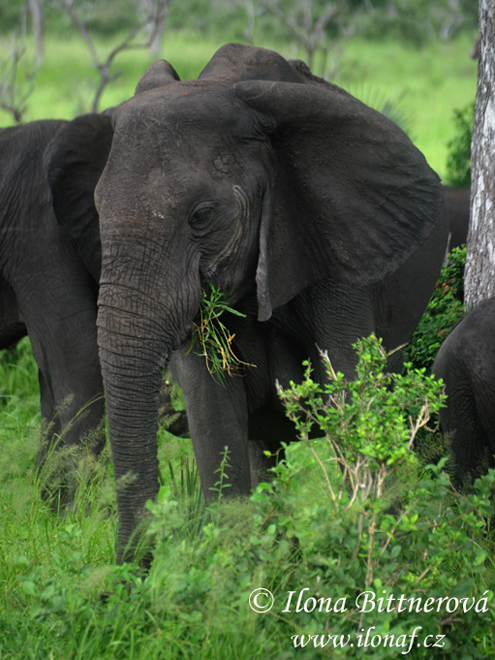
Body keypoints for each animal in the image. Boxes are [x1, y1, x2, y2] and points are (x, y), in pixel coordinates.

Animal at [44, 43, 448, 560]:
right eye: (98, 212)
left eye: (201, 216)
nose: (126, 574)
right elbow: (213, 414)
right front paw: (238, 568)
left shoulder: (337, 249)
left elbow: (350, 394)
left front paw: (375, 549)